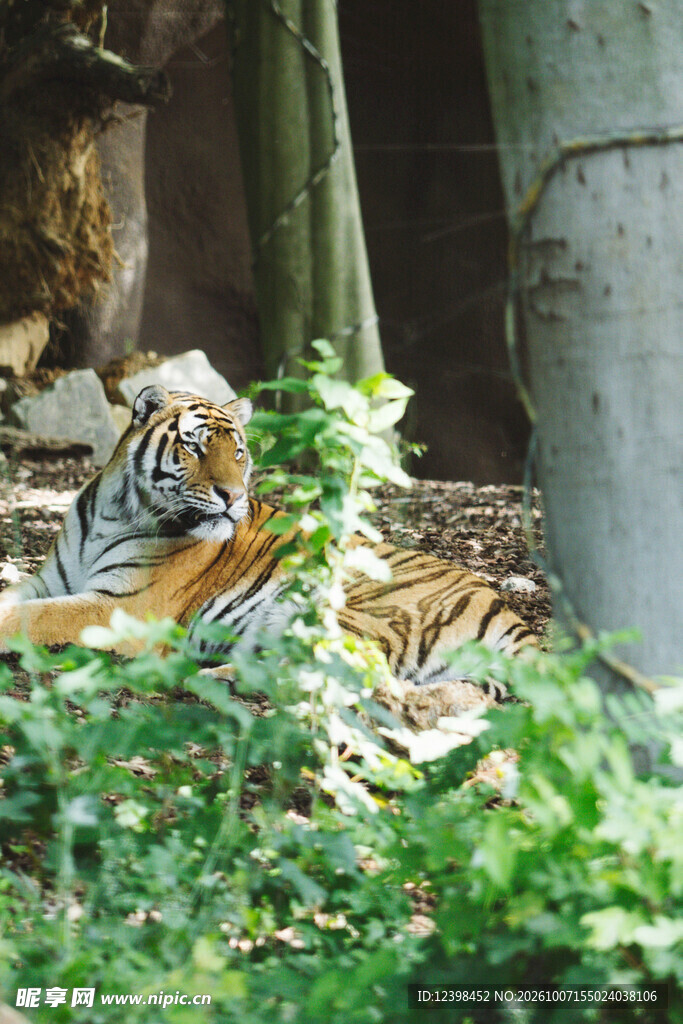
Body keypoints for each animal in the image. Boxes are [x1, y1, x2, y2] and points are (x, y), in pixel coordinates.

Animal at [0, 385, 537, 681]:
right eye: (194, 447)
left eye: (238, 453)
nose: (232, 496)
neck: (116, 510)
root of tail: (509, 612)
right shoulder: (49, 582)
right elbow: (17, 600)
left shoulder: (122, 607)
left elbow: (38, 619)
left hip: (357, 609)